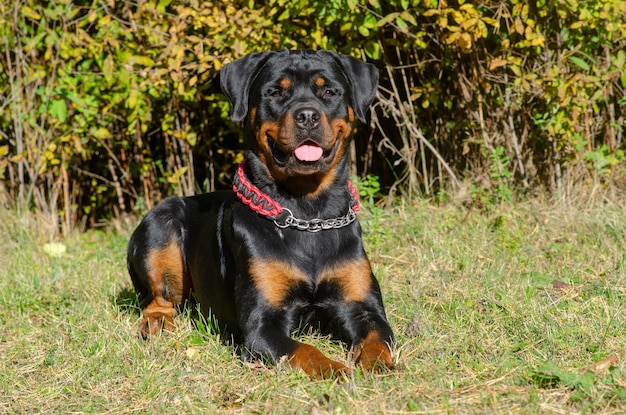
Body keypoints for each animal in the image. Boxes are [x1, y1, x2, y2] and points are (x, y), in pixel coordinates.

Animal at [124, 49, 392, 380]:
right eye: (275, 92)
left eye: (329, 92)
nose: (307, 115)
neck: (308, 212)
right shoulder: (262, 324)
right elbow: (306, 351)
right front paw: (336, 369)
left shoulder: (363, 306)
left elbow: (377, 336)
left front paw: (376, 365)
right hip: (159, 223)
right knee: (157, 298)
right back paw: (157, 322)